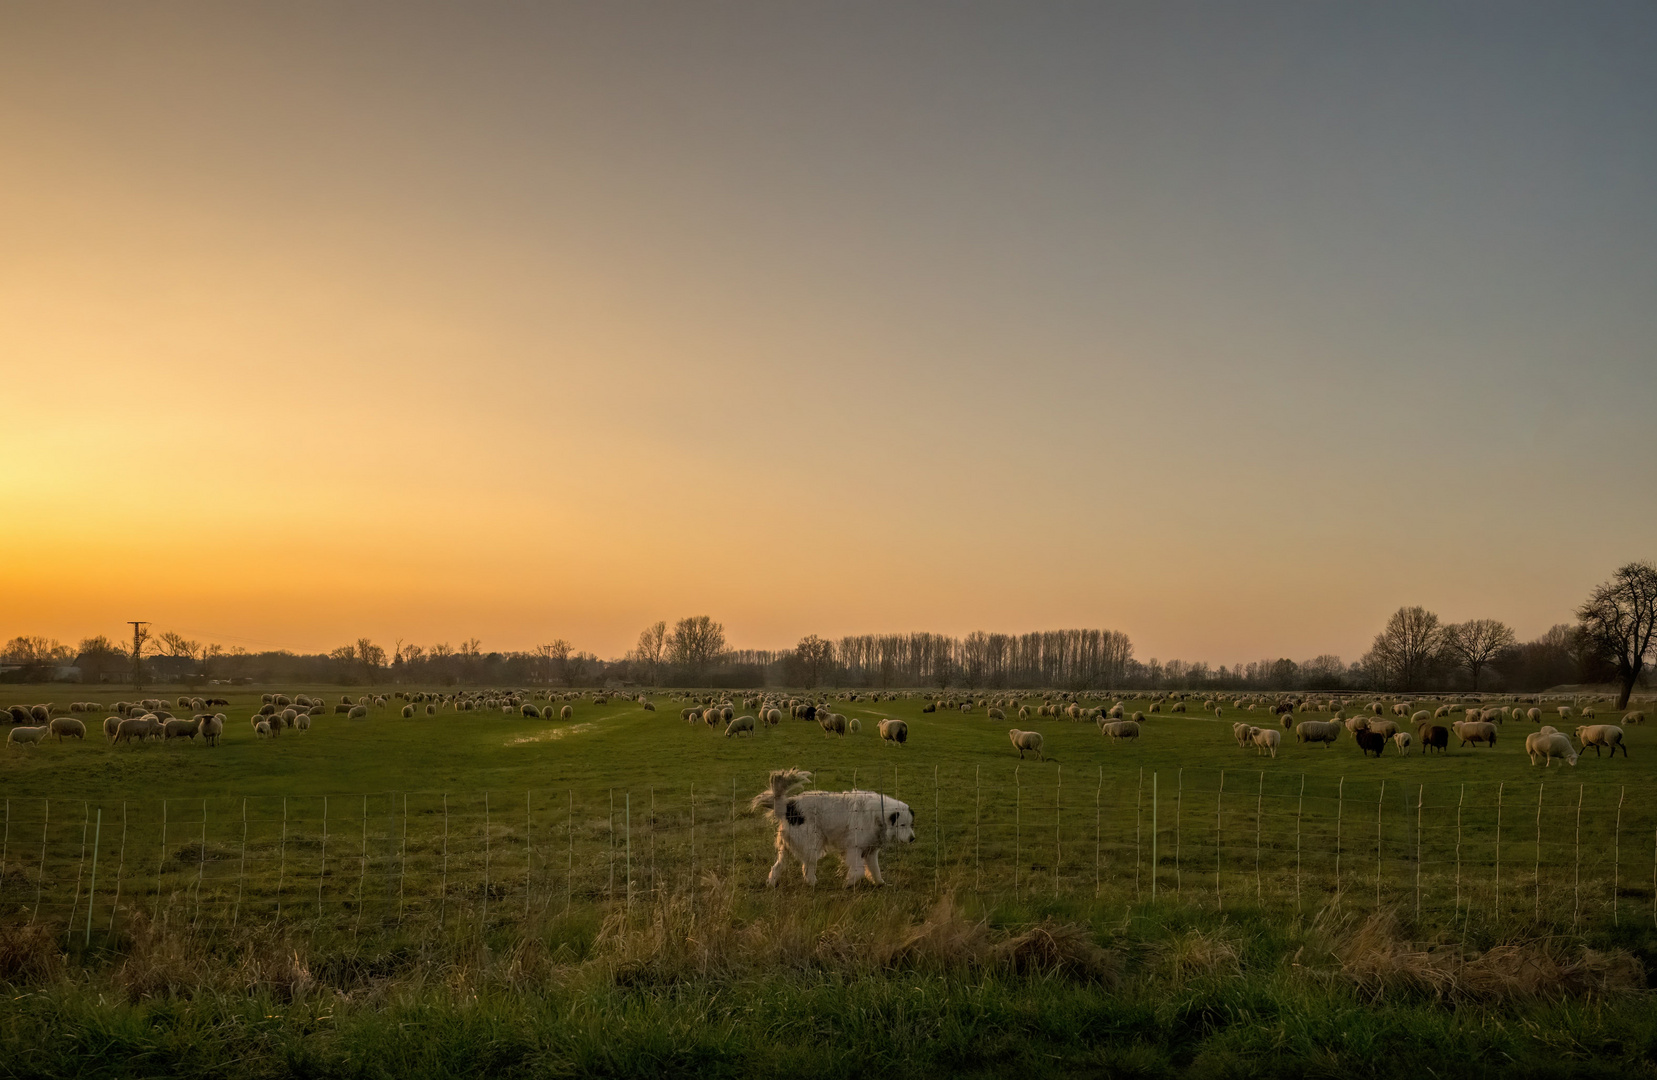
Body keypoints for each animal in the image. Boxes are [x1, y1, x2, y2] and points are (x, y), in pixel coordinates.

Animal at [752, 768, 921, 887]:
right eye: (902, 825)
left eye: (911, 825)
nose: (912, 839)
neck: (878, 815)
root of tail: (788, 806)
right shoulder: (854, 848)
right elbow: (858, 870)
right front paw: (849, 883)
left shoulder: (871, 851)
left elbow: (875, 869)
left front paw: (880, 883)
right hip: (812, 844)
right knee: (807, 868)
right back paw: (813, 883)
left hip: (787, 847)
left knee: (777, 866)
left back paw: (772, 883)